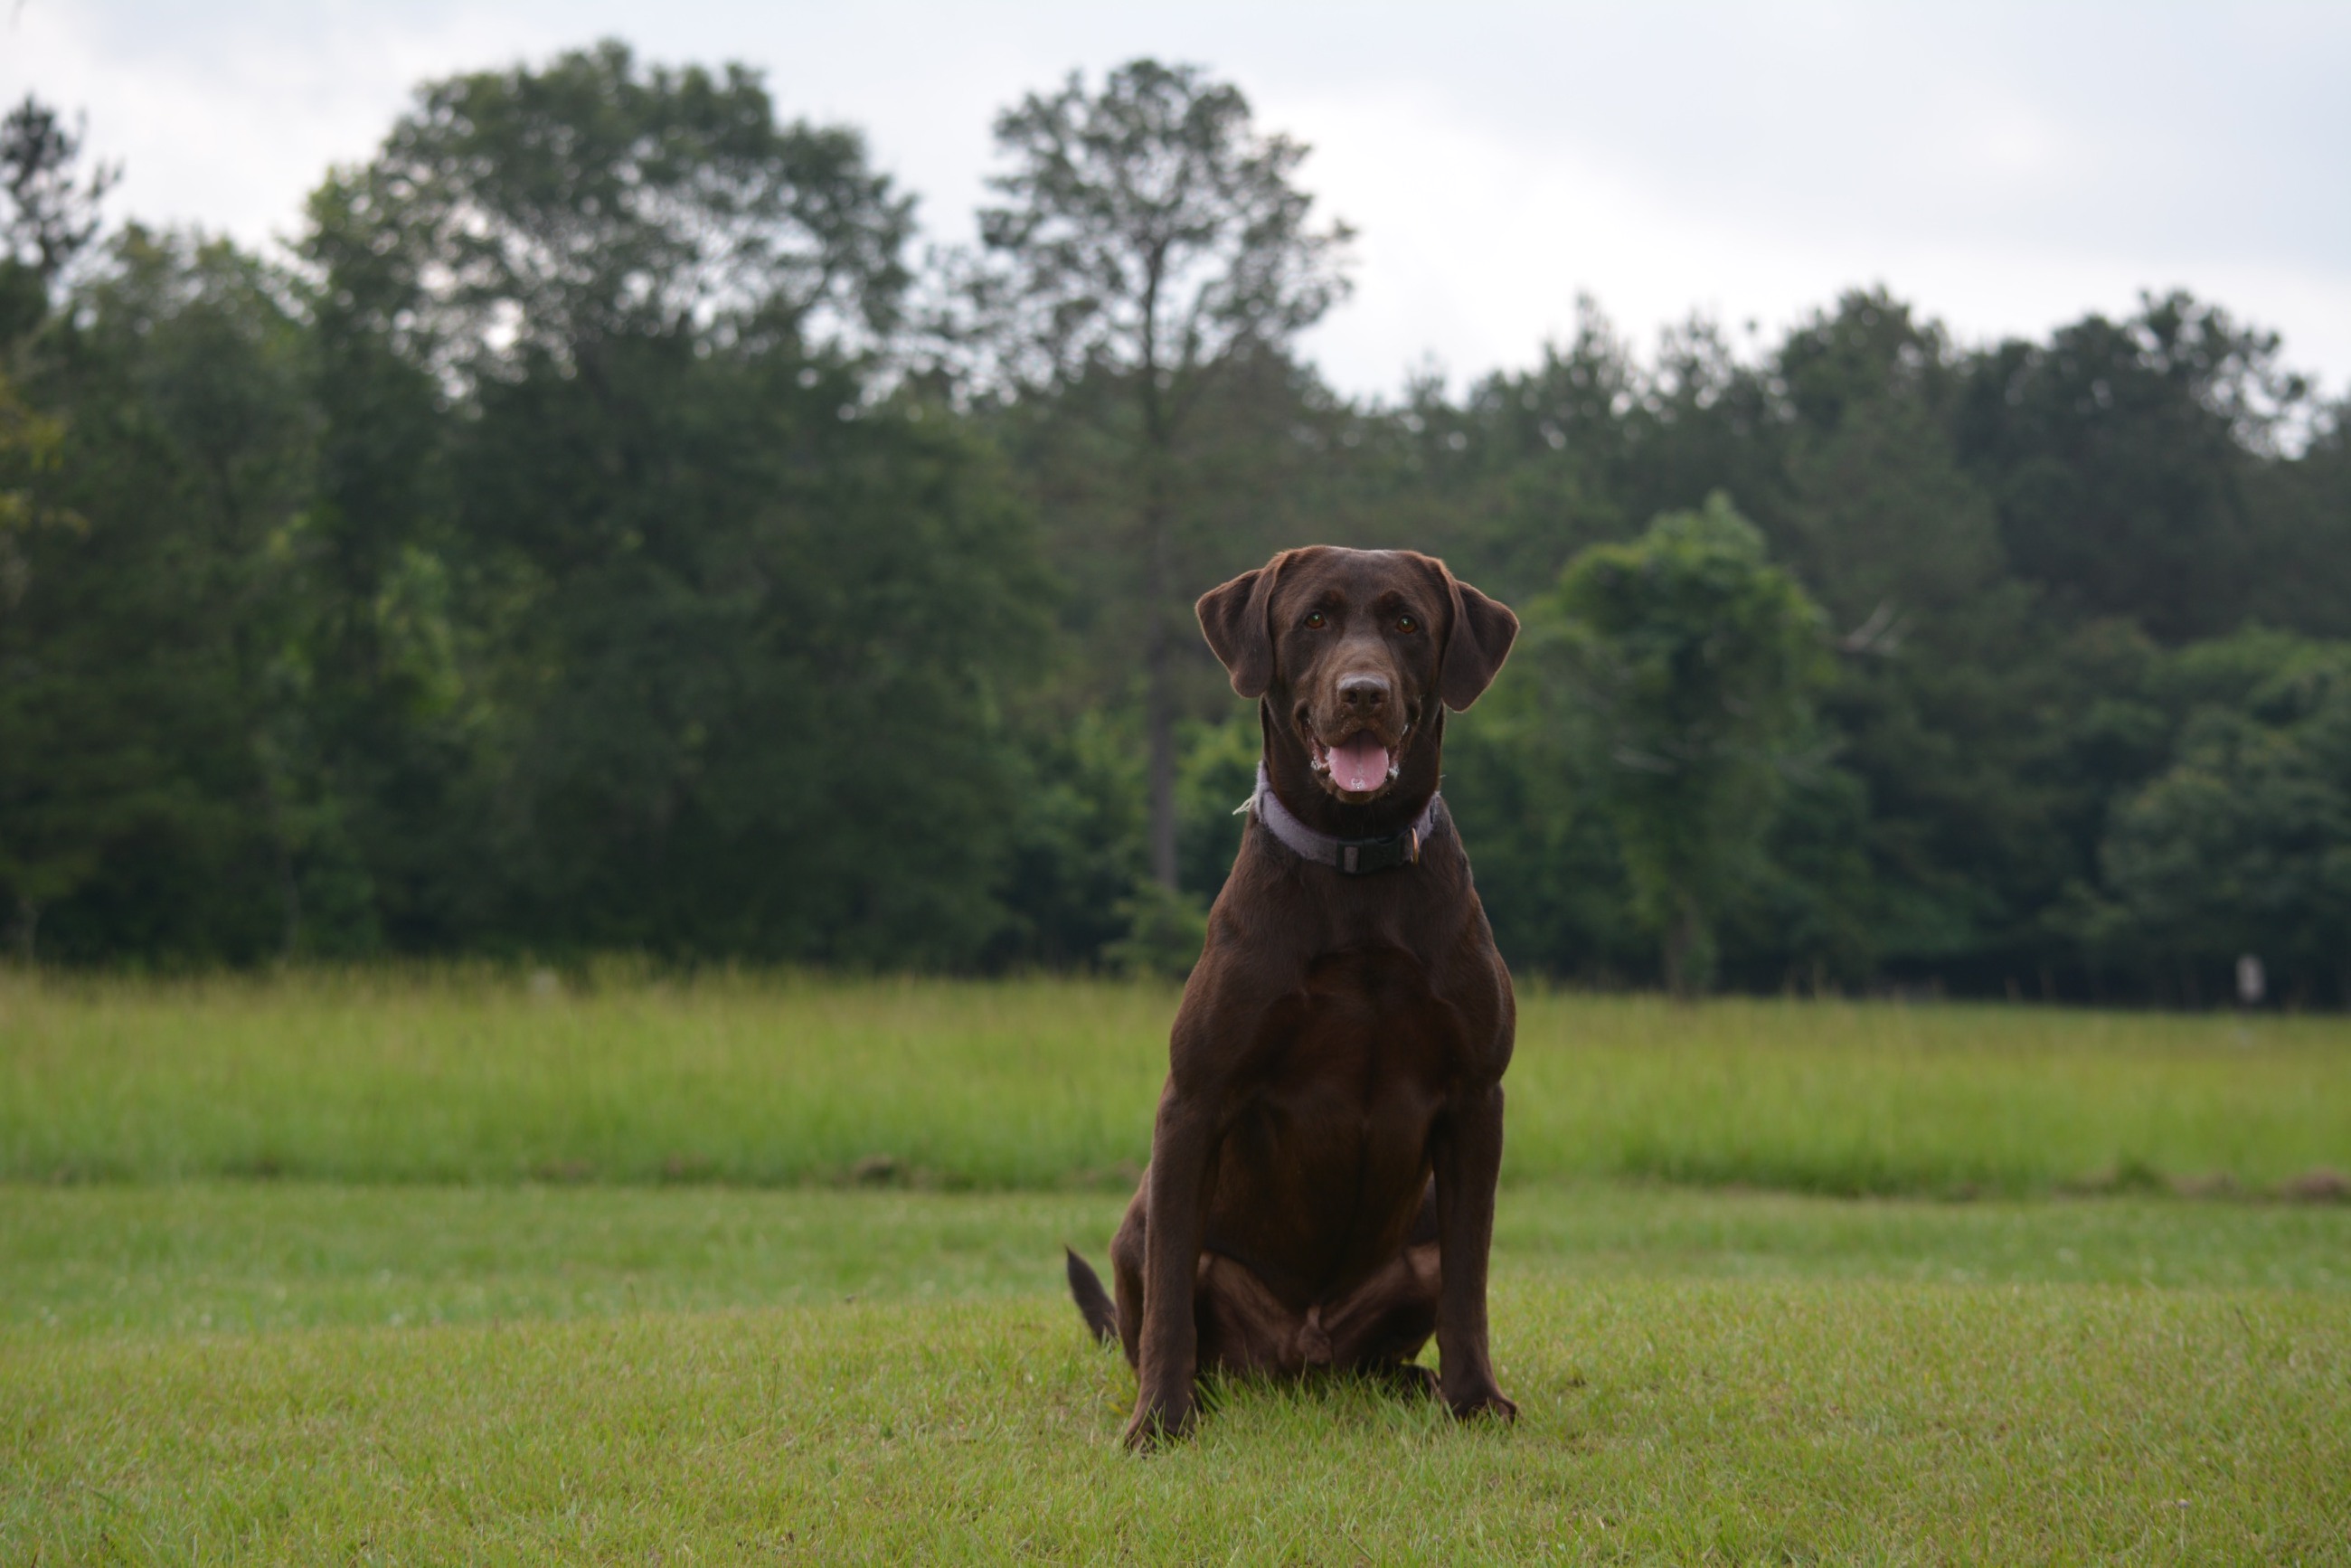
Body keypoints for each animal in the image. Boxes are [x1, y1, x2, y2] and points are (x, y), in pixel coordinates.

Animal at [1067, 543, 1523, 1448]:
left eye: (1407, 622)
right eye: (1313, 619)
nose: (1363, 693)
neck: (1354, 866)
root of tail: (1300, 1355)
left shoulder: (1475, 1099)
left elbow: (1470, 1280)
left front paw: (1474, 1399)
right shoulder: (1195, 1098)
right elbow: (1171, 1300)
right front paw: (1159, 1422)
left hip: (1408, 1253)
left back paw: (1417, 1384)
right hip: (1135, 1222)